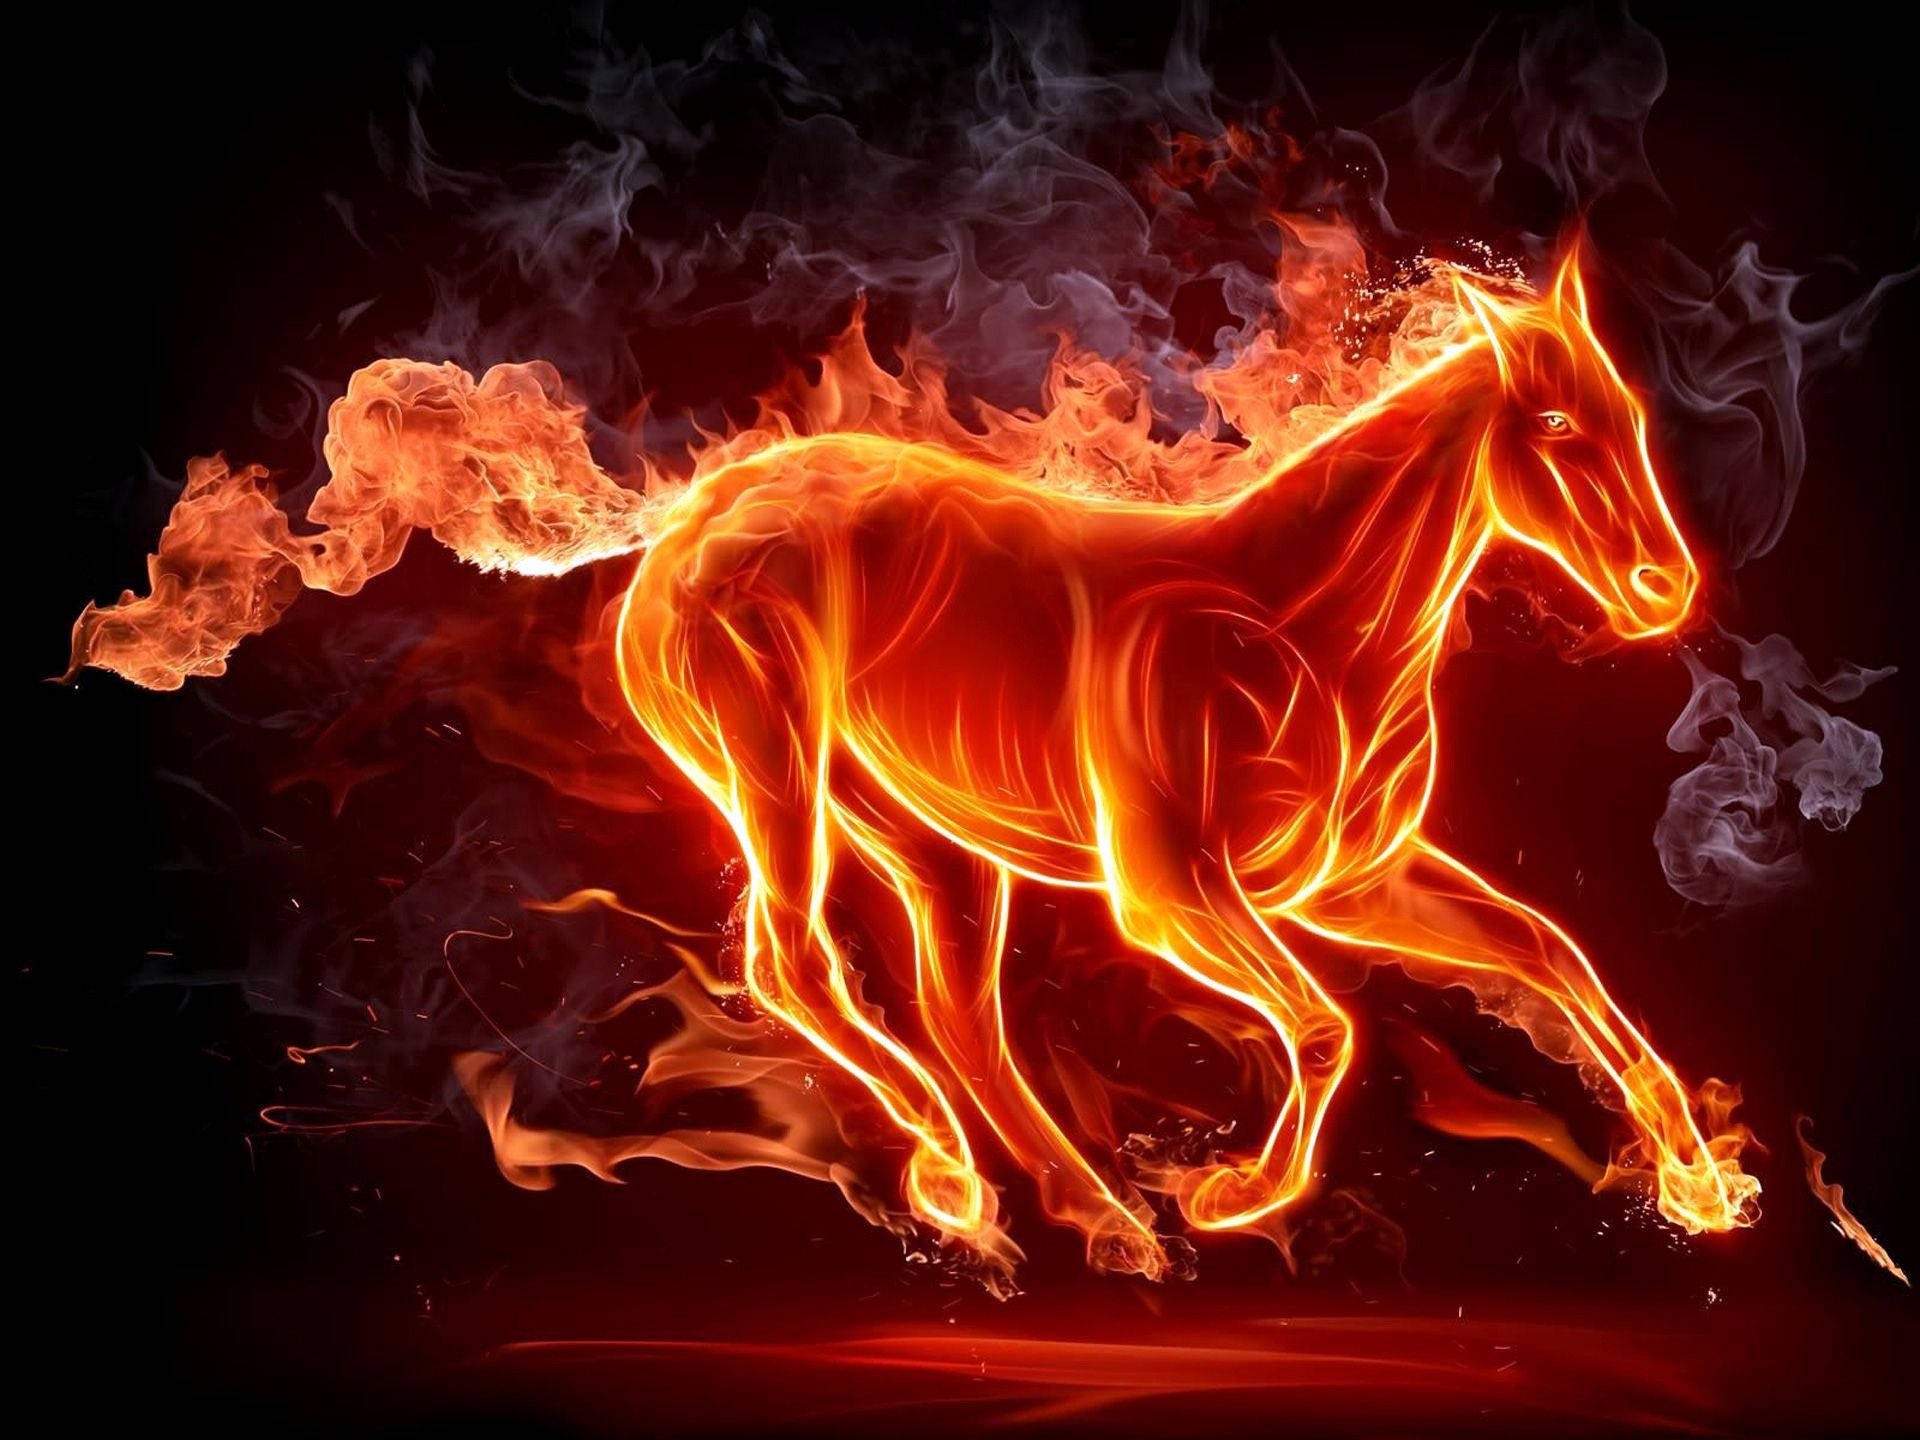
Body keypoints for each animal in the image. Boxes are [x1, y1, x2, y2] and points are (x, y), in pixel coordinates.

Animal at [614, 253, 1760, 1279]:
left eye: (1630, 413)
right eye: (1556, 426)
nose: (1664, 589)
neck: (1306, 623)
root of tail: (690, 524)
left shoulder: (1352, 884)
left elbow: (1552, 954)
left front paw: (1701, 1187)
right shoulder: (1169, 891)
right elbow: (1325, 1026)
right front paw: (1237, 1193)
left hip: (923, 827)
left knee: (958, 1011)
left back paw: (1102, 1220)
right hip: (774, 773)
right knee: (794, 962)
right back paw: (956, 1179)